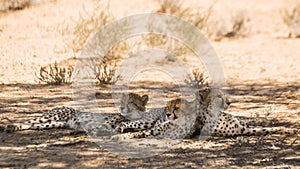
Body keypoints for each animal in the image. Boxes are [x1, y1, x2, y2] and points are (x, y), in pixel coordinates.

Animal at [0, 92, 149, 133]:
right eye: (121, 102)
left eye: (130, 102)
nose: (122, 108)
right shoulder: (103, 123)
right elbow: (97, 127)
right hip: (54, 116)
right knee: (29, 121)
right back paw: (9, 126)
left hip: (56, 123)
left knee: (31, 125)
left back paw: (13, 127)